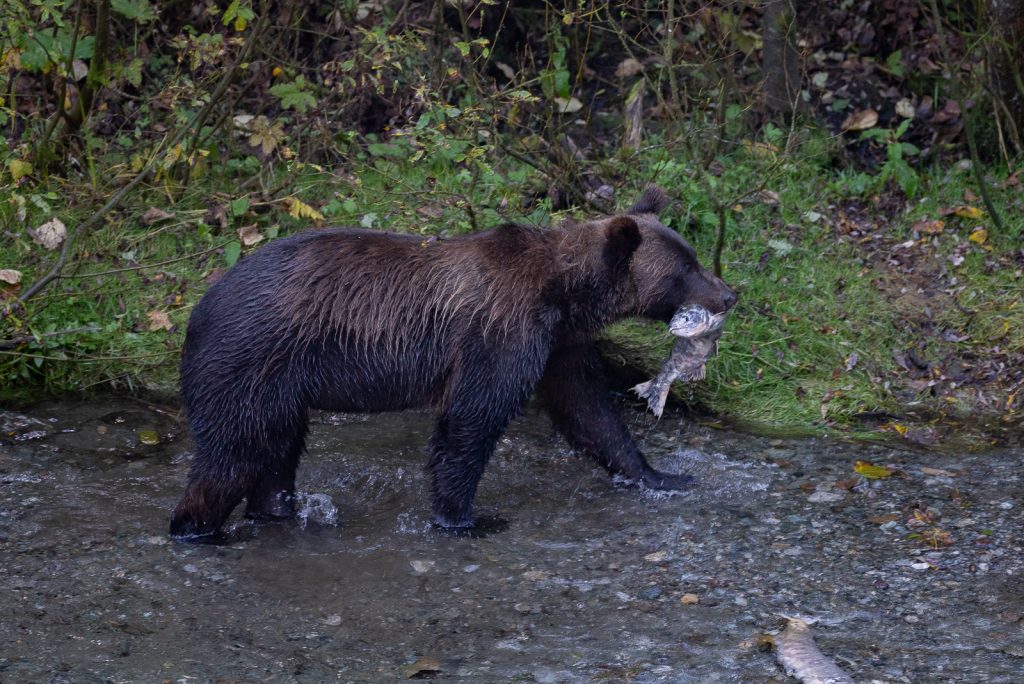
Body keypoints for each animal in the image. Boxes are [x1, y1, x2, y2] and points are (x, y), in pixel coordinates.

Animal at [170, 186, 737, 540]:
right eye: (684, 270)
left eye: (692, 255)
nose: (729, 294)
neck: (565, 294)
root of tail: (199, 308)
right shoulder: (501, 332)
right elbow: (471, 420)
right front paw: (464, 517)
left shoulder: (561, 344)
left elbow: (589, 411)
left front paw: (661, 476)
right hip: (249, 360)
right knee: (233, 455)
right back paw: (196, 530)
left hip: (281, 386)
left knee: (276, 454)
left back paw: (275, 513)